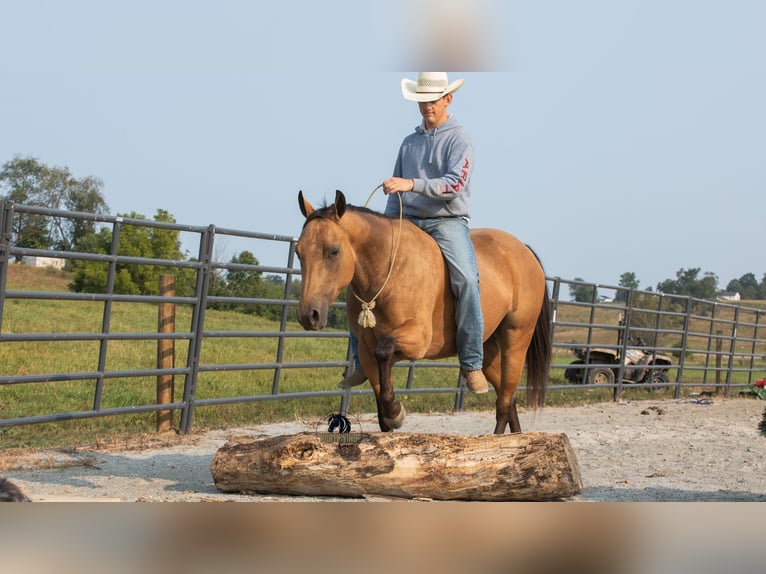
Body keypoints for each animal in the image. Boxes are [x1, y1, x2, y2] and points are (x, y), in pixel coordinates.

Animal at [296, 190, 552, 434]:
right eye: (298, 252)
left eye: (334, 251)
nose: (309, 315)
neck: (390, 270)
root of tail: (525, 252)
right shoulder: (366, 353)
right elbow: (381, 404)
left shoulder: (417, 340)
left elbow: (384, 351)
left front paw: (395, 411)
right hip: (488, 349)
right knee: (508, 396)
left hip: (515, 340)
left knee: (504, 403)